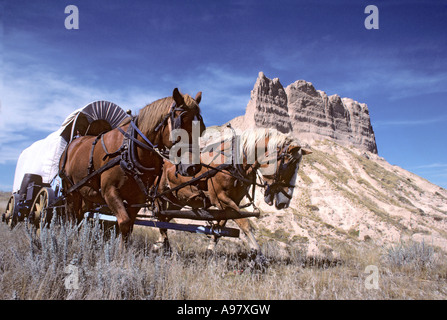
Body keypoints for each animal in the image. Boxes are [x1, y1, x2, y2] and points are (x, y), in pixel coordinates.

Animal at [59, 87, 205, 238]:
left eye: (201, 129)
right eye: (180, 127)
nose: (193, 167)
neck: (129, 149)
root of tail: (75, 140)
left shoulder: (136, 199)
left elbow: (129, 228)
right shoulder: (109, 191)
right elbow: (124, 223)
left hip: (85, 193)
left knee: (79, 215)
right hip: (70, 191)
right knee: (71, 217)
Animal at [154, 126, 312, 266]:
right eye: (289, 165)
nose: (285, 202)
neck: (234, 163)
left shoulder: (231, 201)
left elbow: (221, 227)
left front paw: (210, 251)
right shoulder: (220, 198)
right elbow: (245, 223)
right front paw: (259, 255)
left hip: (176, 200)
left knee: (165, 218)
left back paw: (163, 244)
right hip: (160, 193)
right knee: (159, 215)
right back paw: (163, 246)